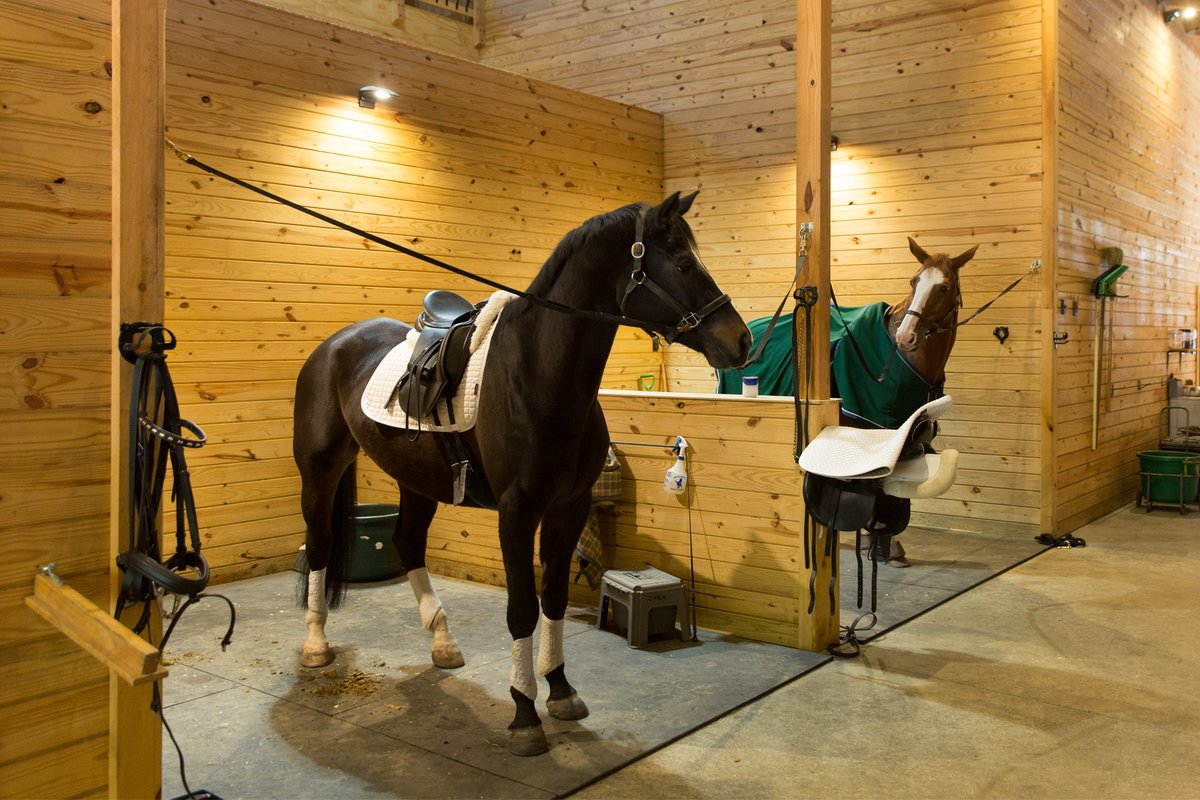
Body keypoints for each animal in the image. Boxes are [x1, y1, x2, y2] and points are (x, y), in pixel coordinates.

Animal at [292, 191, 752, 757]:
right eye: (684, 263)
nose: (742, 340)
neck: (537, 373)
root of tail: (334, 344)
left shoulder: (569, 509)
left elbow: (553, 599)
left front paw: (560, 690)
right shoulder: (516, 513)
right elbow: (521, 610)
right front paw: (524, 713)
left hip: (416, 480)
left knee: (407, 542)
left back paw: (442, 641)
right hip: (320, 471)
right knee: (320, 546)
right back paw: (316, 644)